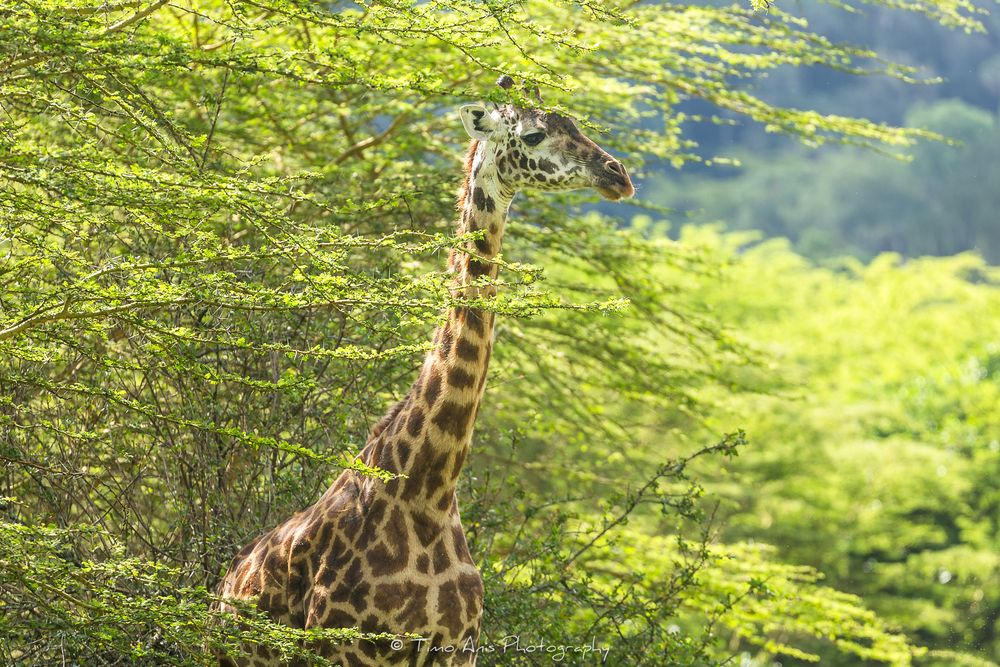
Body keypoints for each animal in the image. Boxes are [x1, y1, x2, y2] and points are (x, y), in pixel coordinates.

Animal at [216, 85, 634, 667]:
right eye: (532, 135)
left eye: (578, 125)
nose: (617, 173)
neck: (429, 492)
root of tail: (222, 588)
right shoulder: (345, 646)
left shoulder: (459, 647)